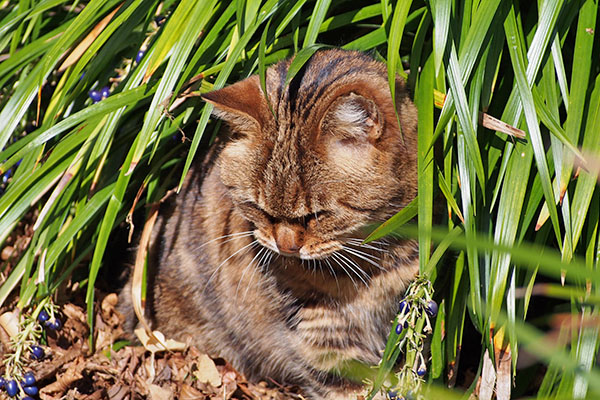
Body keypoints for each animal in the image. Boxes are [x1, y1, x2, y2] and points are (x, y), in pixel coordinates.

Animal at [125, 50, 420, 400]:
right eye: (259, 209)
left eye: (316, 216)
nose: (286, 247)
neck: (373, 261)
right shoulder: (312, 323)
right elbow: (342, 379)